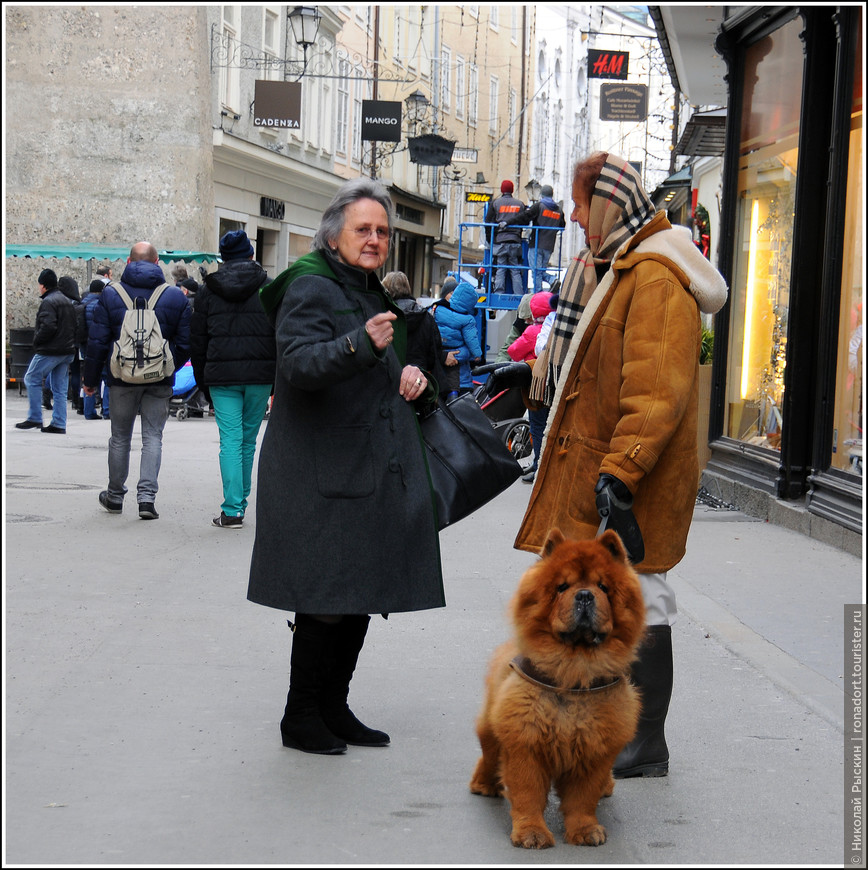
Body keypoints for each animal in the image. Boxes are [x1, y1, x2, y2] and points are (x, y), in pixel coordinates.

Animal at [468, 528, 644, 848]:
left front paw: (585, 831)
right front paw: (531, 833)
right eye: (562, 587)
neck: (573, 673)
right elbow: (527, 794)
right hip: (491, 727)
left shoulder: (595, 750)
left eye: (603, 586)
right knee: (488, 755)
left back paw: (607, 787)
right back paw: (484, 785)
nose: (585, 595)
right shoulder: (525, 743)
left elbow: (582, 799)